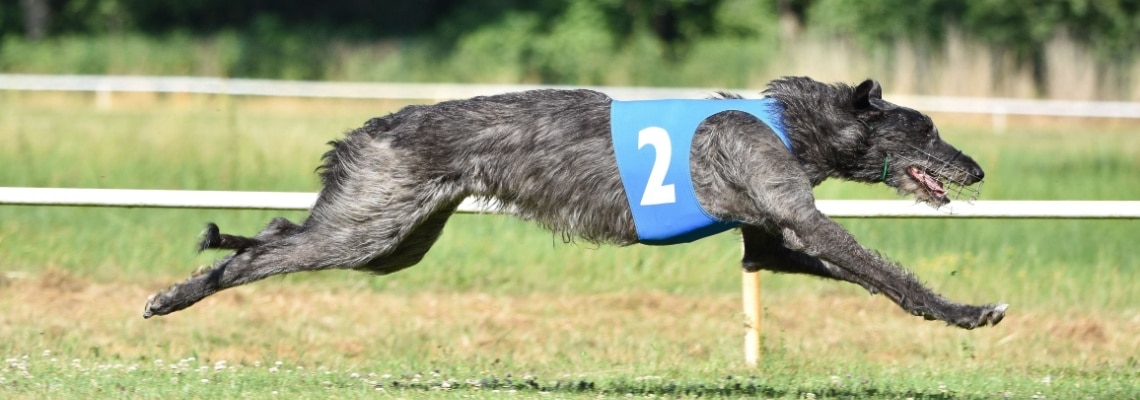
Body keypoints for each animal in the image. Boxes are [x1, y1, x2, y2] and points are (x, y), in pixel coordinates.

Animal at [142, 76, 1007, 330]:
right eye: (926, 128)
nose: (977, 169)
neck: (793, 122)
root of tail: (375, 125)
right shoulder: (794, 211)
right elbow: (879, 267)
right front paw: (966, 313)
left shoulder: (769, 239)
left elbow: (808, 261)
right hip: (369, 224)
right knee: (268, 251)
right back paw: (176, 295)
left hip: (396, 240)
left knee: (276, 232)